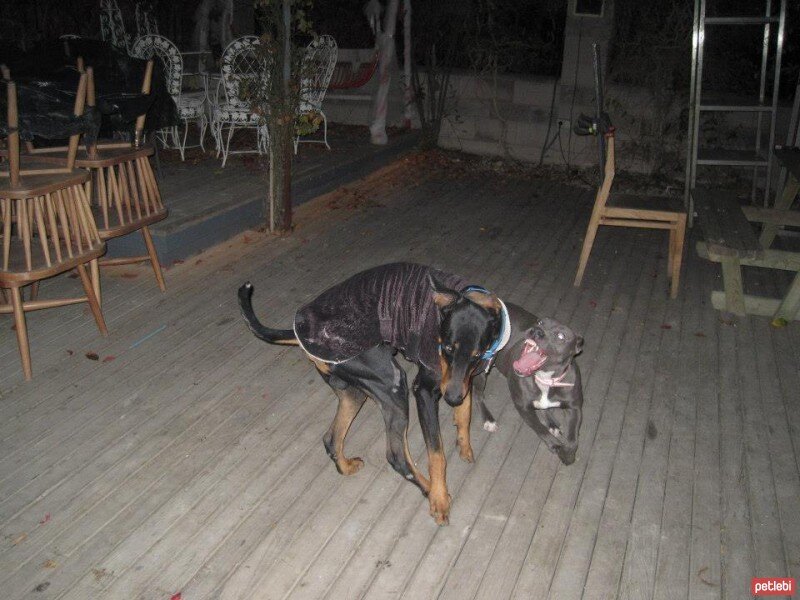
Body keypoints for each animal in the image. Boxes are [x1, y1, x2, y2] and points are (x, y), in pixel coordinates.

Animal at [472, 304, 584, 464]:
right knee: (478, 395)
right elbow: (541, 429)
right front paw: (557, 446)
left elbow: (573, 440)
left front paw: (568, 454)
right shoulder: (523, 408)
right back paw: (489, 420)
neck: (544, 377)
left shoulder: (575, 408)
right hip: (482, 368)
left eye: (561, 336)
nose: (536, 331)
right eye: (540, 322)